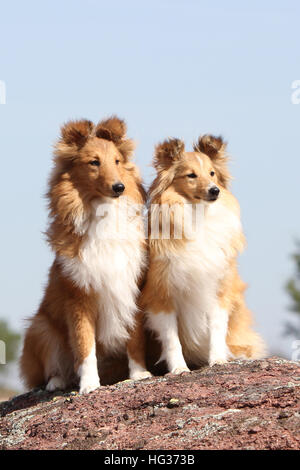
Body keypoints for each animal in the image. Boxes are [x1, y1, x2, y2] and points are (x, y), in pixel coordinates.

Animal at [20, 116, 151, 392]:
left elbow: (134, 338)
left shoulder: (131, 287)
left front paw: (139, 374)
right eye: (94, 162)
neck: (103, 212)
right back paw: (56, 382)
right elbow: (84, 344)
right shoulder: (79, 296)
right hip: (41, 327)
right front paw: (89, 385)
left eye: (117, 161)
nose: (119, 187)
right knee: (52, 367)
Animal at [142, 134, 266, 372]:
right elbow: (171, 339)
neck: (198, 215)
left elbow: (217, 328)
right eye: (191, 175)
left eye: (212, 173)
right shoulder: (160, 294)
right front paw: (179, 369)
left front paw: (217, 360)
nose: (214, 190)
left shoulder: (219, 288)